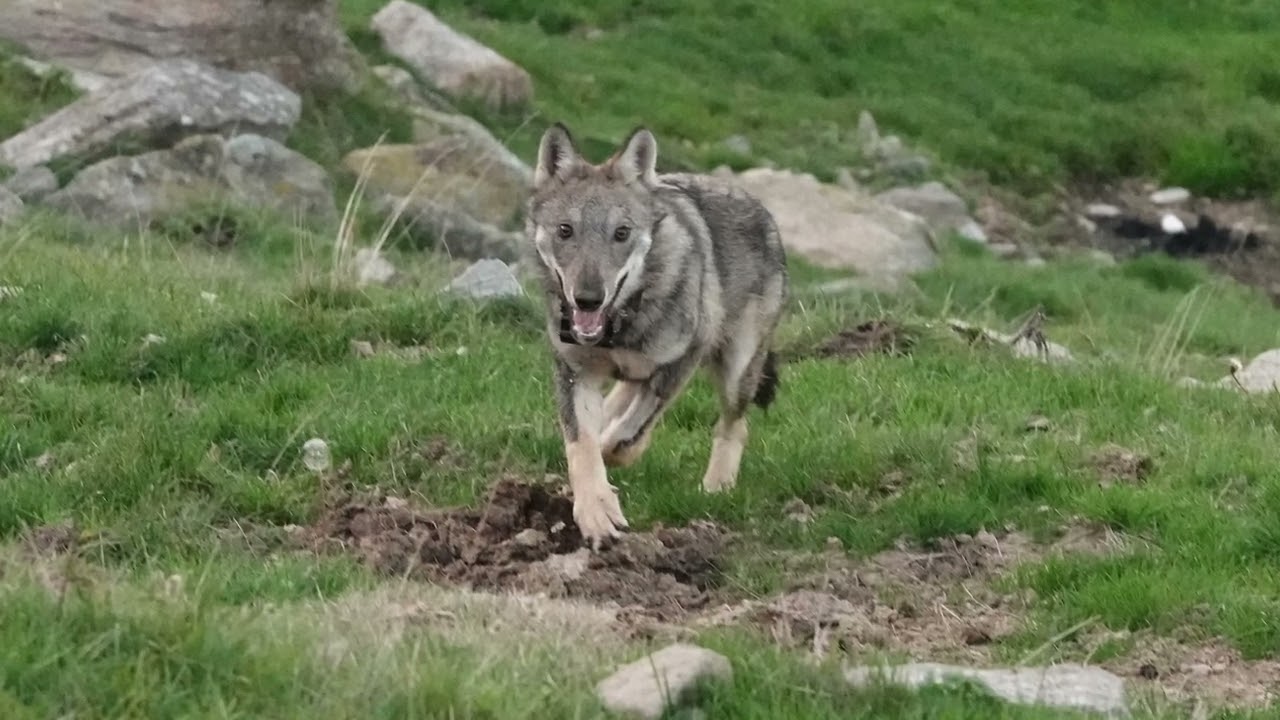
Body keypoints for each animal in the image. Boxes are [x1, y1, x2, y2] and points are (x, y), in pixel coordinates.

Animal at [524, 123, 789, 549]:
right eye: (565, 230)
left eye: (621, 233)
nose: (588, 298)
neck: (618, 328)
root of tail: (760, 208)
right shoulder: (574, 373)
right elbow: (582, 446)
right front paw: (596, 511)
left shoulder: (684, 358)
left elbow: (625, 440)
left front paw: (609, 480)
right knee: (624, 394)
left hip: (737, 371)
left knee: (735, 425)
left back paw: (716, 488)